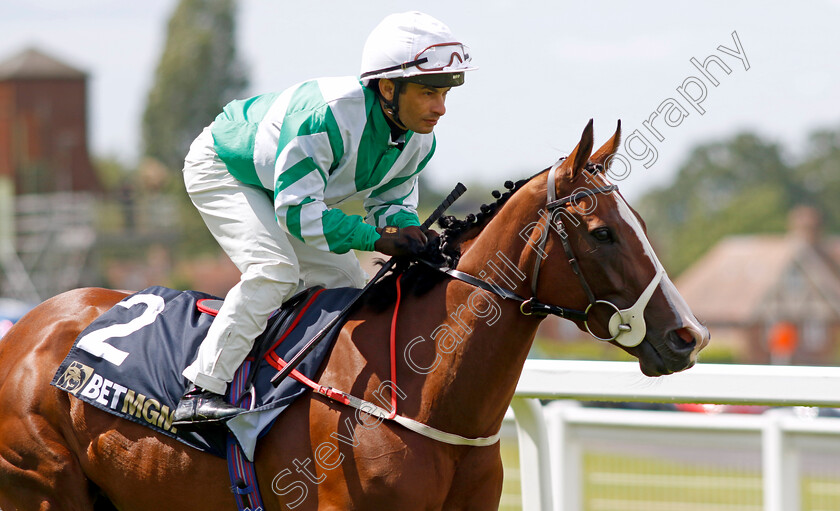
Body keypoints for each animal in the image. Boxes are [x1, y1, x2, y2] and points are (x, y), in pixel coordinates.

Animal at [0, 121, 708, 511]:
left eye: (642, 225)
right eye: (602, 233)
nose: (688, 336)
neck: (424, 396)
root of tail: (29, 328)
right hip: (43, 488)